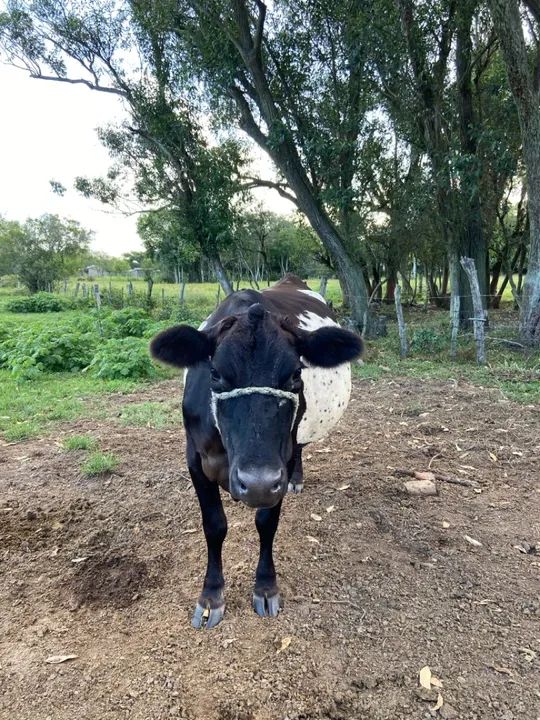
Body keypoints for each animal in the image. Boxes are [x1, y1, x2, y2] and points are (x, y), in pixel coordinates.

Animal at [150, 275, 362, 628]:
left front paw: (265, 587)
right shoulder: (195, 459)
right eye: (215, 374)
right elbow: (214, 525)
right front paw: (211, 596)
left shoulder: (279, 465)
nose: (257, 483)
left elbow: (267, 522)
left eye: (295, 375)